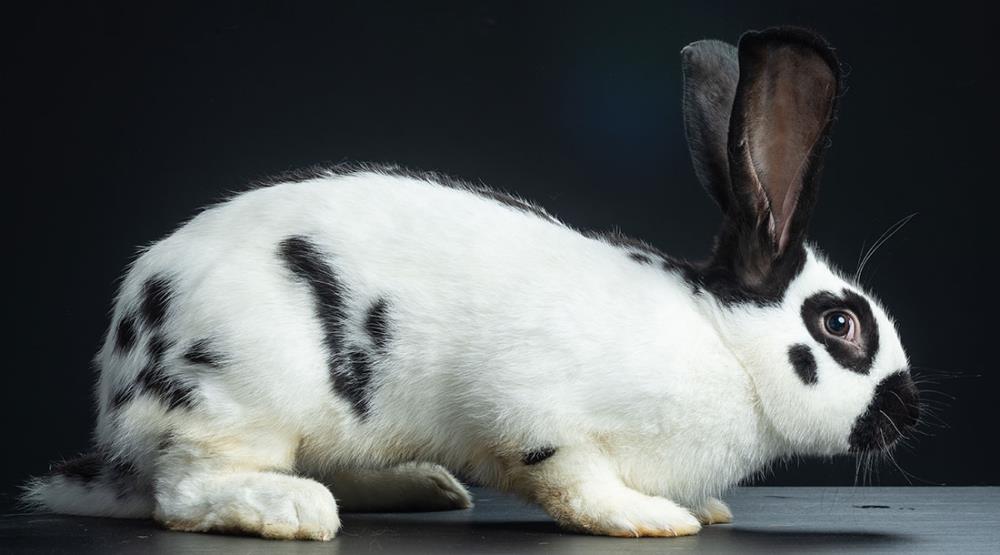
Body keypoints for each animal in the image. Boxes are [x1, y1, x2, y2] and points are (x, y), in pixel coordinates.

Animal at [19, 26, 916, 540]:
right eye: (840, 326)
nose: (907, 412)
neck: (724, 345)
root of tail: (119, 393)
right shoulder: (538, 413)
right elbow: (576, 482)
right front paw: (654, 518)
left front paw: (701, 507)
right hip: (241, 397)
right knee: (184, 490)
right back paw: (293, 509)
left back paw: (422, 485)